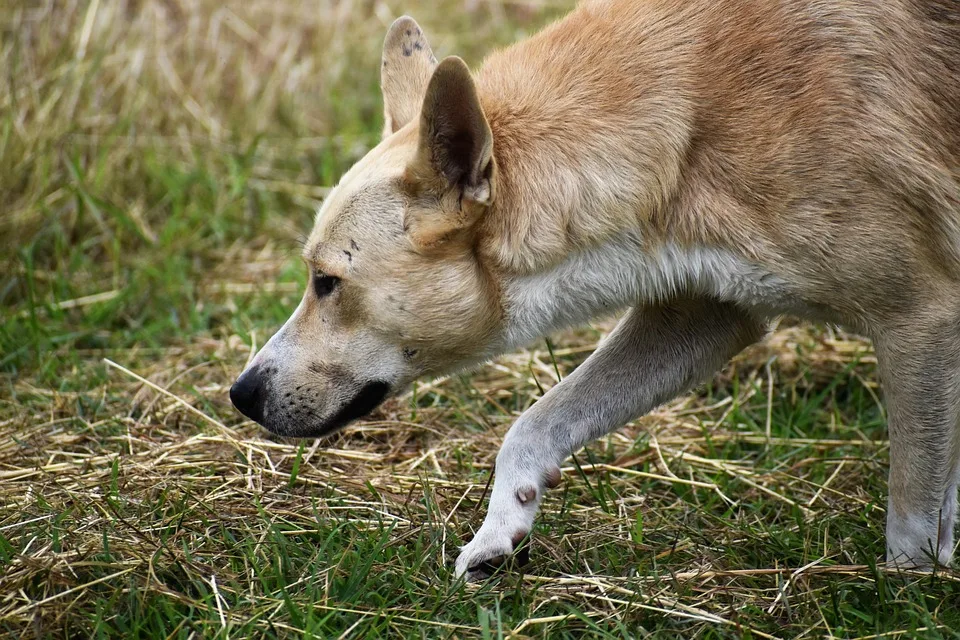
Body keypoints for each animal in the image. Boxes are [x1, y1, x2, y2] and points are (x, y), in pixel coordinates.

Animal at [229, 0, 956, 580]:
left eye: (327, 282)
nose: (240, 394)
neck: (694, 127)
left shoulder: (920, 319)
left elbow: (913, 517)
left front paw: (907, 598)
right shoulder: (706, 316)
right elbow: (532, 425)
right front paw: (501, 530)